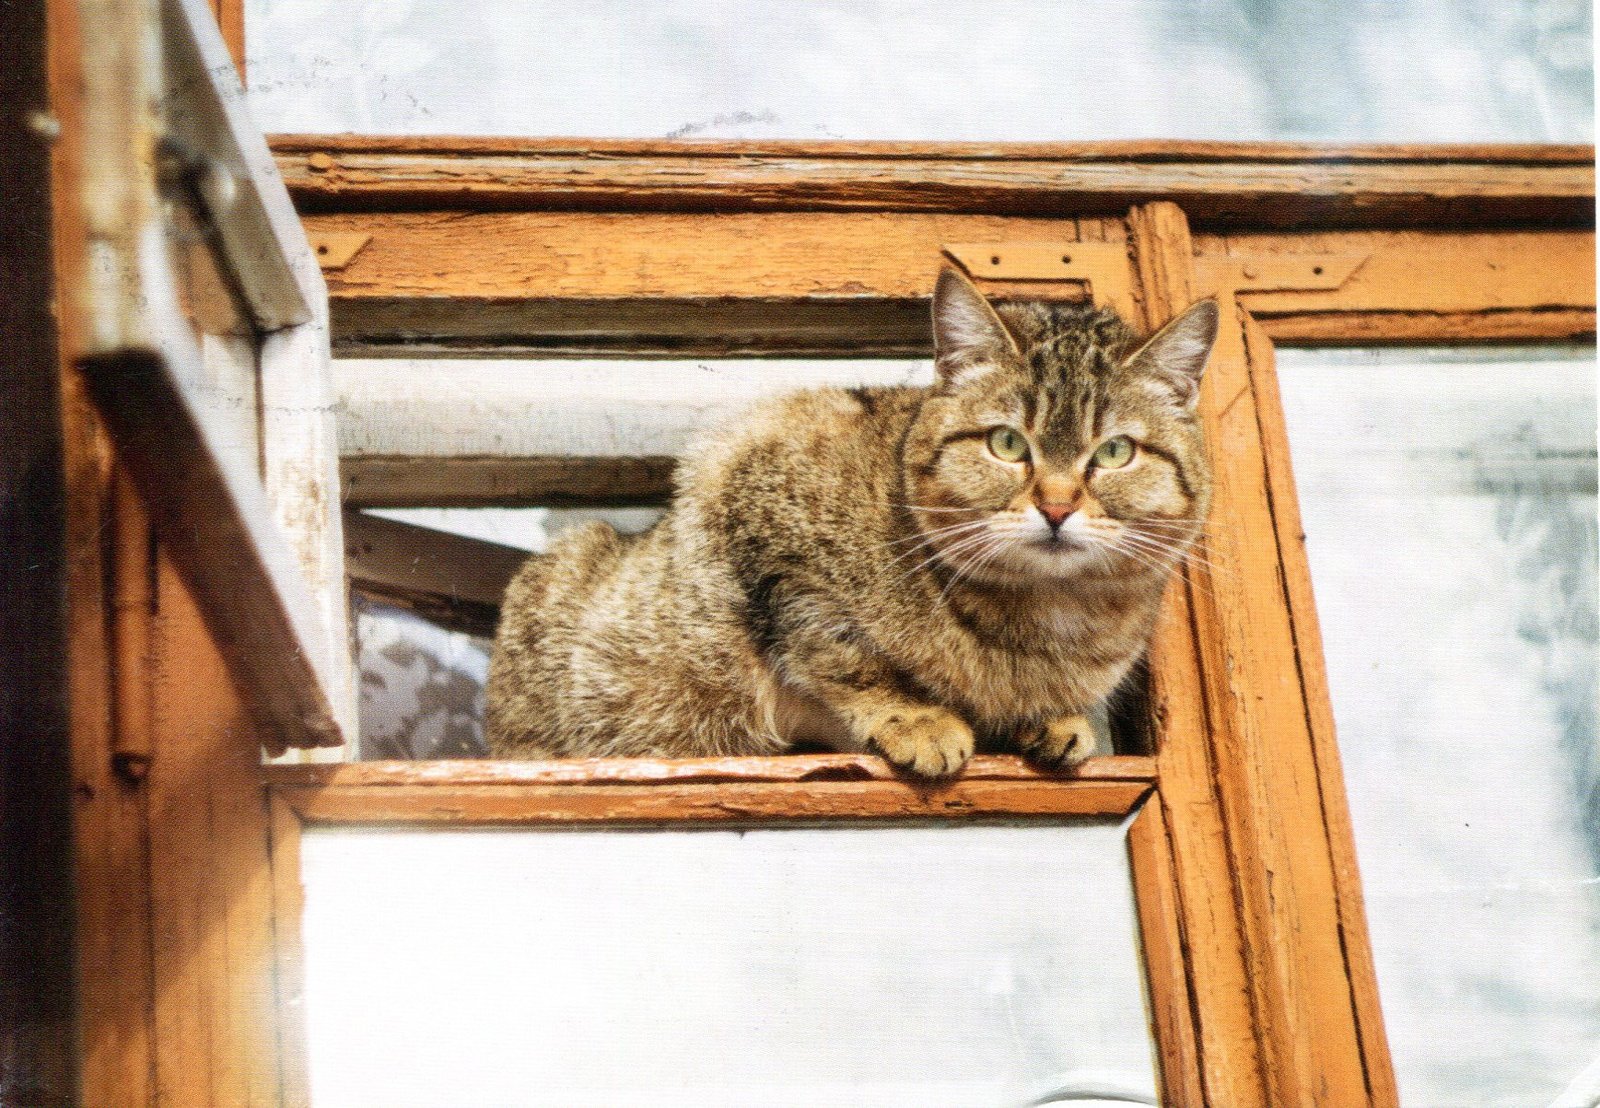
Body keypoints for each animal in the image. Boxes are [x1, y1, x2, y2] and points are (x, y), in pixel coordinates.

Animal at [486, 268, 1217, 778]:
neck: (1047, 622)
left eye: (1115, 452)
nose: (1059, 506)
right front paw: (918, 718)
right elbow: (841, 651)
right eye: (1007, 443)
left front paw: (1060, 720)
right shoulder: (758, 500)